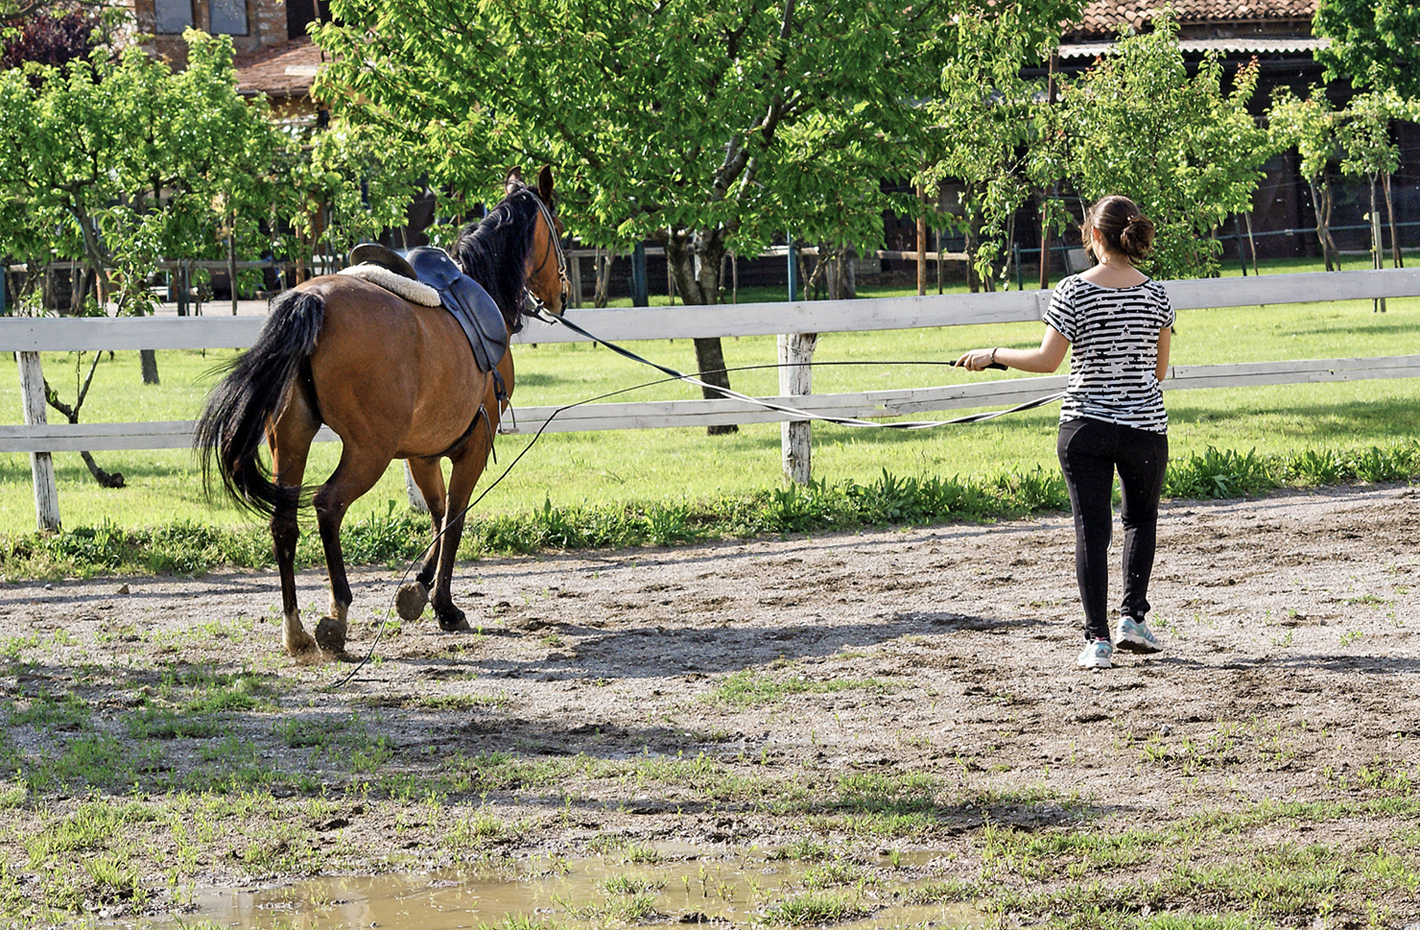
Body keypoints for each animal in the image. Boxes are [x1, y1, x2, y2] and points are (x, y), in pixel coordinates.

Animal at [195, 168, 570, 661]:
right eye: (558, 228)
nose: (564, 294)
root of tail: (311, 301)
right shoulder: (472, 445)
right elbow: (454, 517)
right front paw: (444, 606)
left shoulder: (422, 453)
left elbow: (436, 514)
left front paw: (419, 591)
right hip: (367, 452)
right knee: (328, 504)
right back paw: (336, 616)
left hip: (291, 439)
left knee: (284, 522)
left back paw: (295, 631)